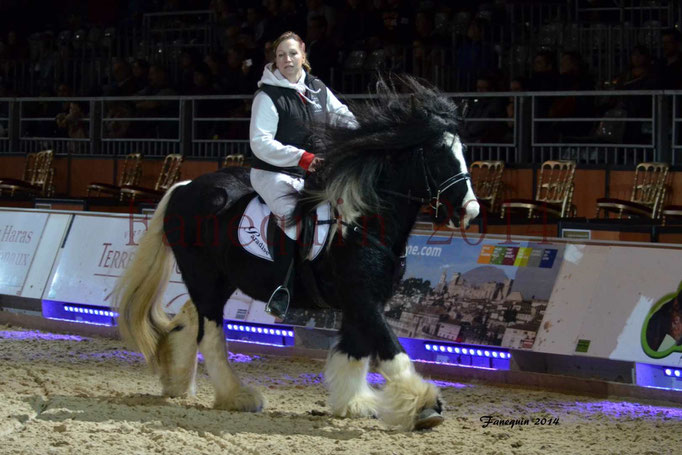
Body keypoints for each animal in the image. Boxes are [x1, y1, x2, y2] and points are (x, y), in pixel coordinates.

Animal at [113, 76, 478, 432]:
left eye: (462, 151)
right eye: (438, 154)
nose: (470, 210)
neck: (363, 222)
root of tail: (185, 187)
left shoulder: (361, 300)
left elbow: (355, 350)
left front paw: (353, 402)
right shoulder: (362, 297)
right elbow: (391, 350)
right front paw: (425, 405)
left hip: (220, 280)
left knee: (190, 317)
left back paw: (175, 379)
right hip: (203, 277)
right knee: (210, 335)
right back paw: (236, 396)